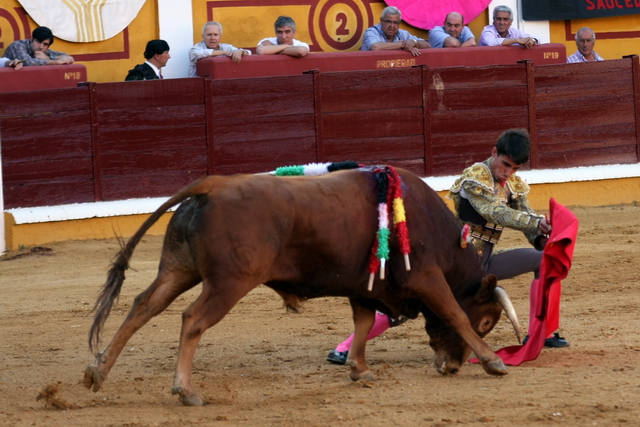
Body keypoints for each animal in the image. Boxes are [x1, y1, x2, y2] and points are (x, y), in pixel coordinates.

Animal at [84, 167, 520, 408]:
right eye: (487, 322)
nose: (451, 367)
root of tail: (211, 186)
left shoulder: (363, 286)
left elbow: (363, 323)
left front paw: (359, 370)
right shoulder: (426, 278)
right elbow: (453, 314)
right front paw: (494, 362)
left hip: (178, 270)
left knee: (143, 306)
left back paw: (97, 373)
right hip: (229, 282)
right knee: (192, 319)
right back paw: (186, 391)